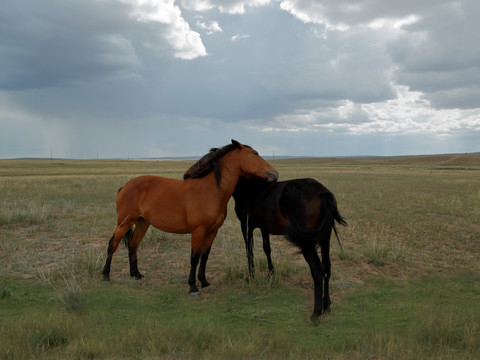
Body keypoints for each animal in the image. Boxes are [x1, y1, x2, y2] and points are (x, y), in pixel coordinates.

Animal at [101, 139, 278, 294]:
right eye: (255, 154)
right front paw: (193, 287)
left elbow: (204, 257)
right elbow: (194, 258)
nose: (275, 173)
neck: (209, 191)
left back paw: (136, 274)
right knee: (113, 244)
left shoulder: (212, 232)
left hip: (142, 222)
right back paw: (106, 275)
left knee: (132, 244)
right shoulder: (198, 231)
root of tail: (126, 186)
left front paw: (204, 282)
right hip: (124, 222)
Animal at [232, 177, 344, 324]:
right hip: (325, 237)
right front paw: (271, 273)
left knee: (318, 270)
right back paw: (326, 305)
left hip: (307, 243)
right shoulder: (264, 227)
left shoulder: (246, 226)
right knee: (327, 267)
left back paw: (316, 313)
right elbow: (266, 248)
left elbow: (249, 250)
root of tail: (322, 192)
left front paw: (251, 276)